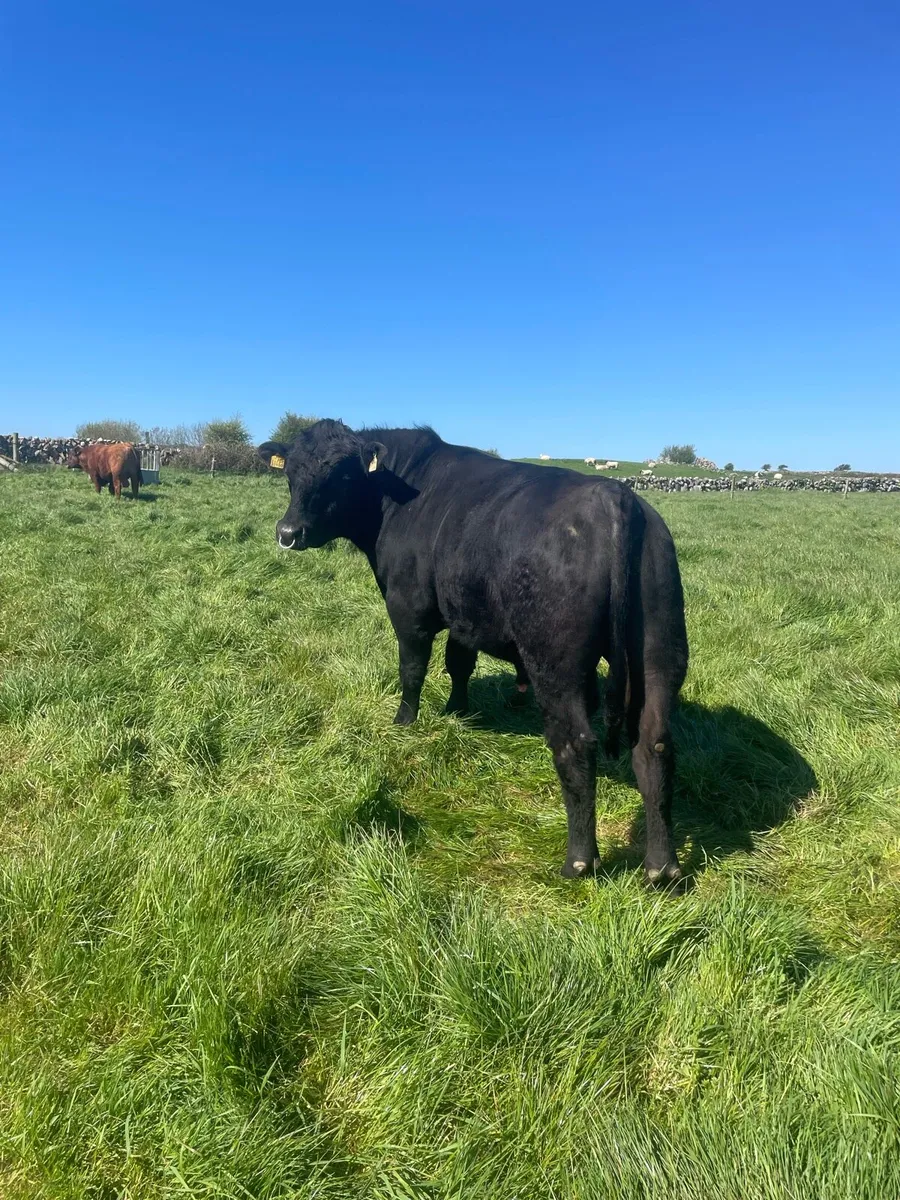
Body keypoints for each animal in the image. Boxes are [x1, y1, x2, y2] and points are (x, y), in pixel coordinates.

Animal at [258, 421, 689, 885]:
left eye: (340, 473)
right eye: (291, 472)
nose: (288, 533)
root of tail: (613, 495)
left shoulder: (408, 608)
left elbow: (412, 668)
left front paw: (404, 721)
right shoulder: (464, 616)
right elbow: (458, 664)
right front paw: (458, 712)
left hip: (557, 664)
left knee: (576, 744)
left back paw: (578, 861)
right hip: (659, 652)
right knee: (654, 744)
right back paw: (662, 867)